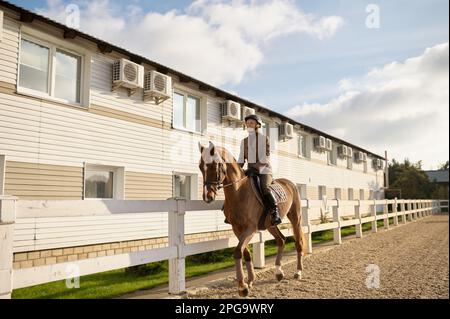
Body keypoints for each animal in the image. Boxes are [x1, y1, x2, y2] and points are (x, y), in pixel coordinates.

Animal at [198, 142, 306, 298]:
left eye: (214, 166)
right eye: (200, 166)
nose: (207, 196)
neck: (239, 192)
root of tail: (289, 183)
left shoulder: (250, 229)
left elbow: (238, 251)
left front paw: (242, 286)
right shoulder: (237, 229)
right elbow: (245, 252)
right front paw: (249, 281)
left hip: (295, 218)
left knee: (298, 243)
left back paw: (298, 272)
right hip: (271, 224)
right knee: (281, 240)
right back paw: (278, 272)